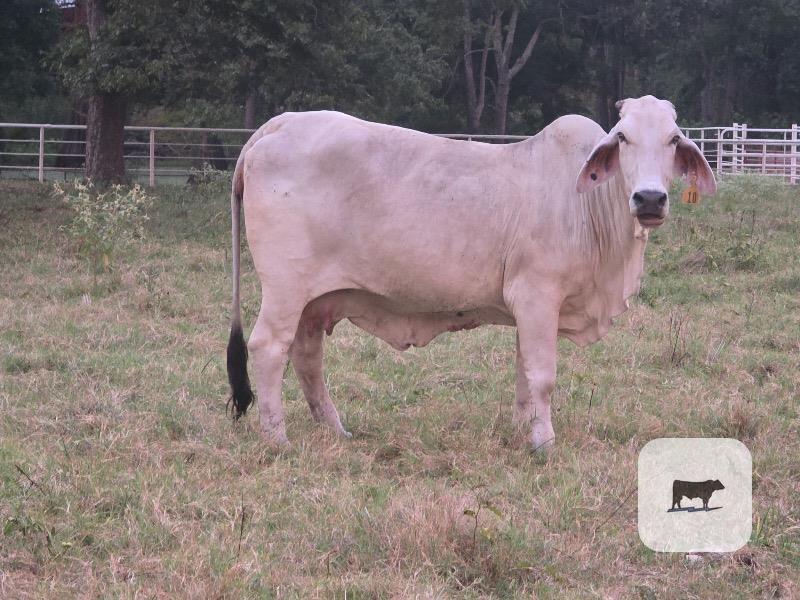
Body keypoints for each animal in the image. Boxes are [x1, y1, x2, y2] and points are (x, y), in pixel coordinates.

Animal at [226, 95, 716, 450]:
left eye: (674, 139)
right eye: (624, 138)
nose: (649, 198)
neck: (588, 206)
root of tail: (279, 124)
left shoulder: (530, 310)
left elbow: (524, 374)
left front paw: (522, 430)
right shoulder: (538, 295)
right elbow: (542, 375)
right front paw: (544, 441)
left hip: (315, 300)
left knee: (307, 356)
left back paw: (334, 429)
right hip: (286, 288)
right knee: (268, 348)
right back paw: (277, 438)